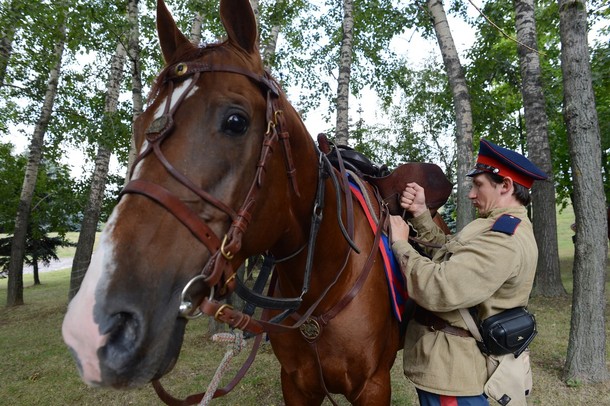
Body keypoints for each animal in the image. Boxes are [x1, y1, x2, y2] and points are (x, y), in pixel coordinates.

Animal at [61, 1, 448, 404]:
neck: (325, 281)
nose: (97, 326)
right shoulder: (295, 383)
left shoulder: (373, 386)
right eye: (138, 127)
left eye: (236, 121)